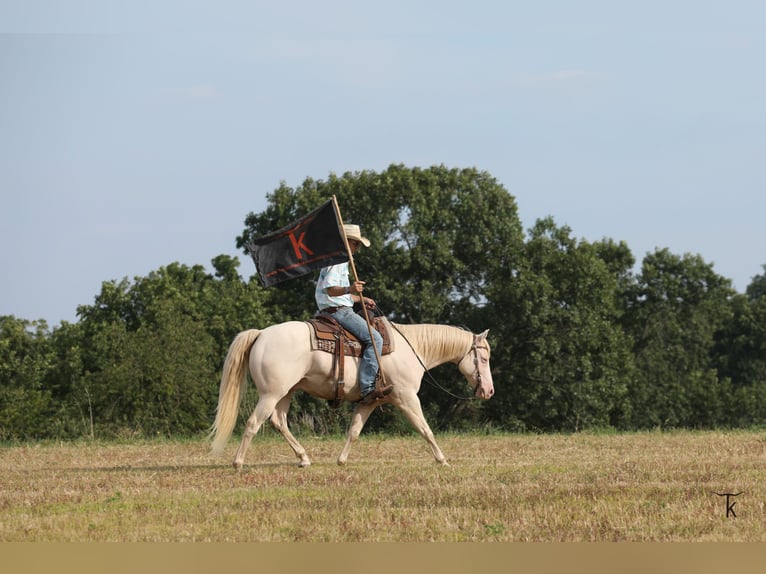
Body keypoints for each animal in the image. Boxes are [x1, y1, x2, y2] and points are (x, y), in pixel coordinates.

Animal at [209, 318, 494, 468]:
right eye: (484, 358)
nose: (489, 391)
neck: (412, 348)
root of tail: (261, 335)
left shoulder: (370, 401)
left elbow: (354, 431)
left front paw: (341, 460)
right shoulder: (406, 398)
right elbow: (425, 429)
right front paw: (442, 459)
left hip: (285, 393)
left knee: (279, 422)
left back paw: (304, 458)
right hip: (270, 394)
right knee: (253, 423)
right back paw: (238, 463)